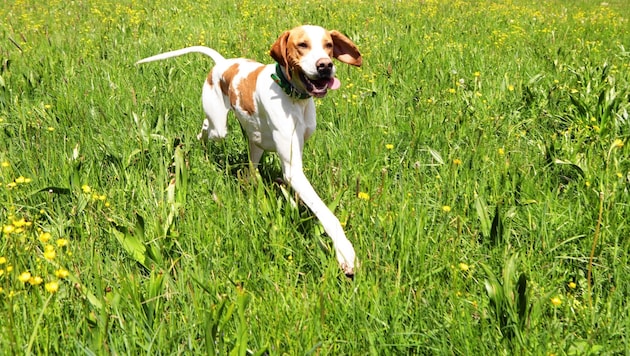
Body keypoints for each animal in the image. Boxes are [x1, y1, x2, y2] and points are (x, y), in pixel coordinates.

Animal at [137, 25, 366, 276]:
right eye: (302, 45)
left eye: (329, 45)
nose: (325, 65)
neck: (292, 97)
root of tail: (222, 63)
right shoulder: (293, 170)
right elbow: (328, 215)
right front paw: (345, 252)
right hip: (218, 128)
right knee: (206, 130)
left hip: (253, 140)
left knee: (250, 163)